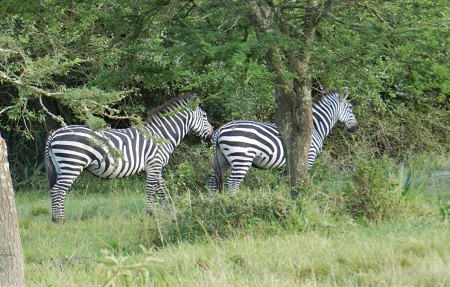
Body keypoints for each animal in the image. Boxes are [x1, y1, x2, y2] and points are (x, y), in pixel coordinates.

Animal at [45, 93, 214, 224]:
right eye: (205, 116)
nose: (212, 135)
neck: (161, 135)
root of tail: (55, 133)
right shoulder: (154, 164)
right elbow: (151, 189)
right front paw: (150, 213)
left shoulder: (157, 167)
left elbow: (161, 189)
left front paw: (167, 211)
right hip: (72, 164)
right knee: (58, 190)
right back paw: (61, 220)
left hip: (61, 166)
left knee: (56, 190)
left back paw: (56, 218)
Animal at [209, 90, 360, 194]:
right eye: (351, 108)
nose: (356, 128)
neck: (314, 127)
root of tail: (220, 129)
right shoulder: (309, 157)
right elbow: (302, 180)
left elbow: (287, 182)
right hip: (242, 158)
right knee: (232, 185)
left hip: (223, 159)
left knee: (213, 181)